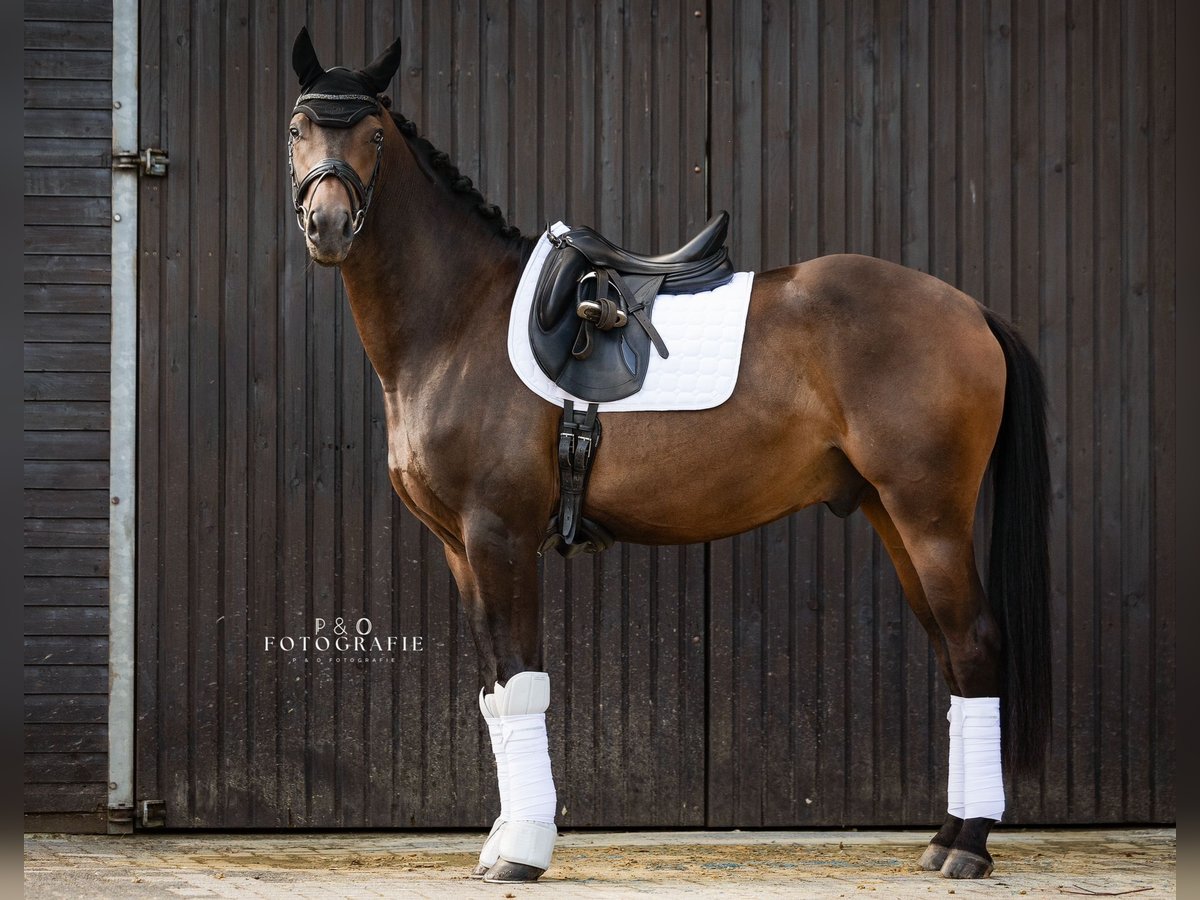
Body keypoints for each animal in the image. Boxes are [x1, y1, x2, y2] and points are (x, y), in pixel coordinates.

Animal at [285, 30, 1046, 888]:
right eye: (297, 128)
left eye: (373, 134)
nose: (327, 225)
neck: (458, 321)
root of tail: (968, 308)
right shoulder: (459, 547)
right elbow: (495, 688)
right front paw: (504, 841)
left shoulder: (498, 535)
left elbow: (519, 681)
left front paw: (520, 852)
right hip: (893, 514)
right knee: (951, 652)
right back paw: (948, 836)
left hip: (930, 514)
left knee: (974, 644)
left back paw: (970, 844)